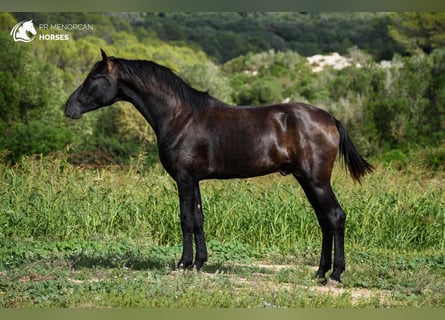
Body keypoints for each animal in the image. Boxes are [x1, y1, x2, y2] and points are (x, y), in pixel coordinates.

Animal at [65, 48, 372, 284]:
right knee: (324, 221)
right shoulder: (195, 180)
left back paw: (335, 275)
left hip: (317, 181)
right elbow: (199, 219)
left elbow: (186, 219)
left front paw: (183, 264)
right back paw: (320, 272)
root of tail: (330, 119)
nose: (68, 108)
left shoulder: (184, 179)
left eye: (97, 77)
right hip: (306, 180)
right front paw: (200, 263)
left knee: (335, 217)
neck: (180, 116)